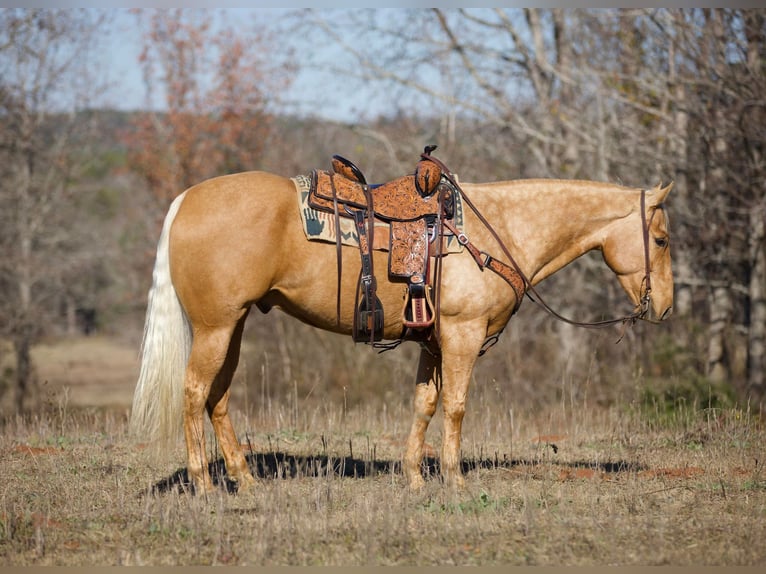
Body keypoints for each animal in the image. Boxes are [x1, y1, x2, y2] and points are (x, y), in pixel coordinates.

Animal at [132, 166, 672, 496]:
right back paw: (204, 484)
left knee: (217, 397)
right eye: (663, 239)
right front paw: (454, 480)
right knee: (193, 391)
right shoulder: (462, 335)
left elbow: (425, 405)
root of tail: (186, 200)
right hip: (216, 327)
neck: (496, 229)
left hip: (234, 326)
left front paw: (414, 477)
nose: (665, 308)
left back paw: (245, 480)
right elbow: (455, 407)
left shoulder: (433, 341)